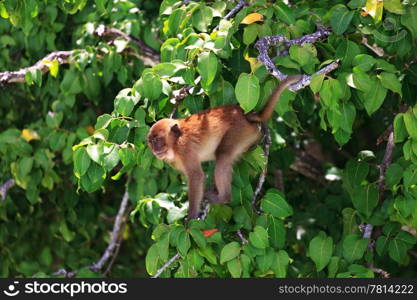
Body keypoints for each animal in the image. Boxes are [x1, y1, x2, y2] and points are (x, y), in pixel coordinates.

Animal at [148, 74, 300, 220]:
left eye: (158, 140)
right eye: (151, 141)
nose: (155, 149)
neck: (175, 142)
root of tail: (244, 114)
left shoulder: (184, 148)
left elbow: (196, 176)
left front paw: (190, 219)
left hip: (238, 131)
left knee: (222, 156)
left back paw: (223, 197)